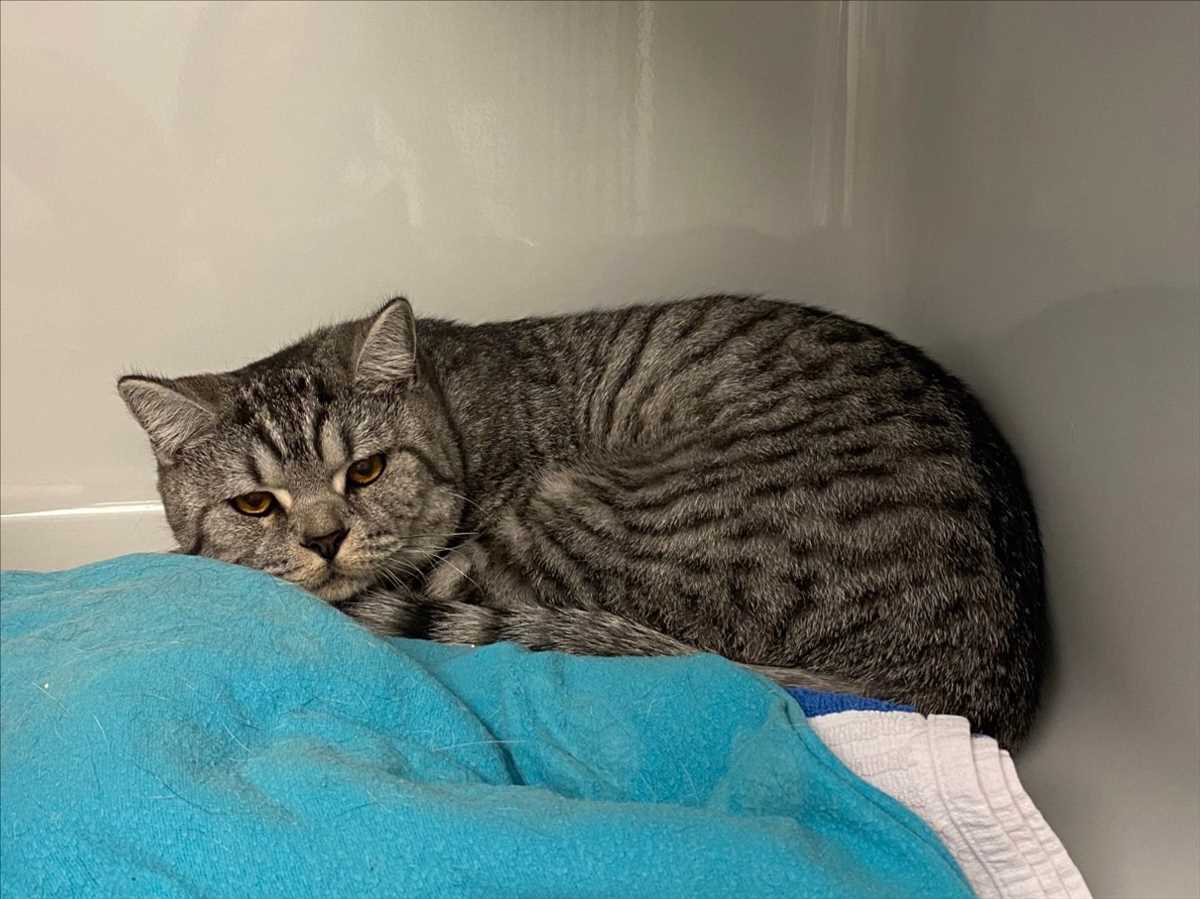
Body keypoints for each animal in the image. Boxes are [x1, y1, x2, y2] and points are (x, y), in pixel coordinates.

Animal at [118, 295, 1045, 748]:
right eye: (255, 503)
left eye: (368, 469)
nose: (322, 538)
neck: (458, 412)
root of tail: (966, 687)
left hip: (581, 522)